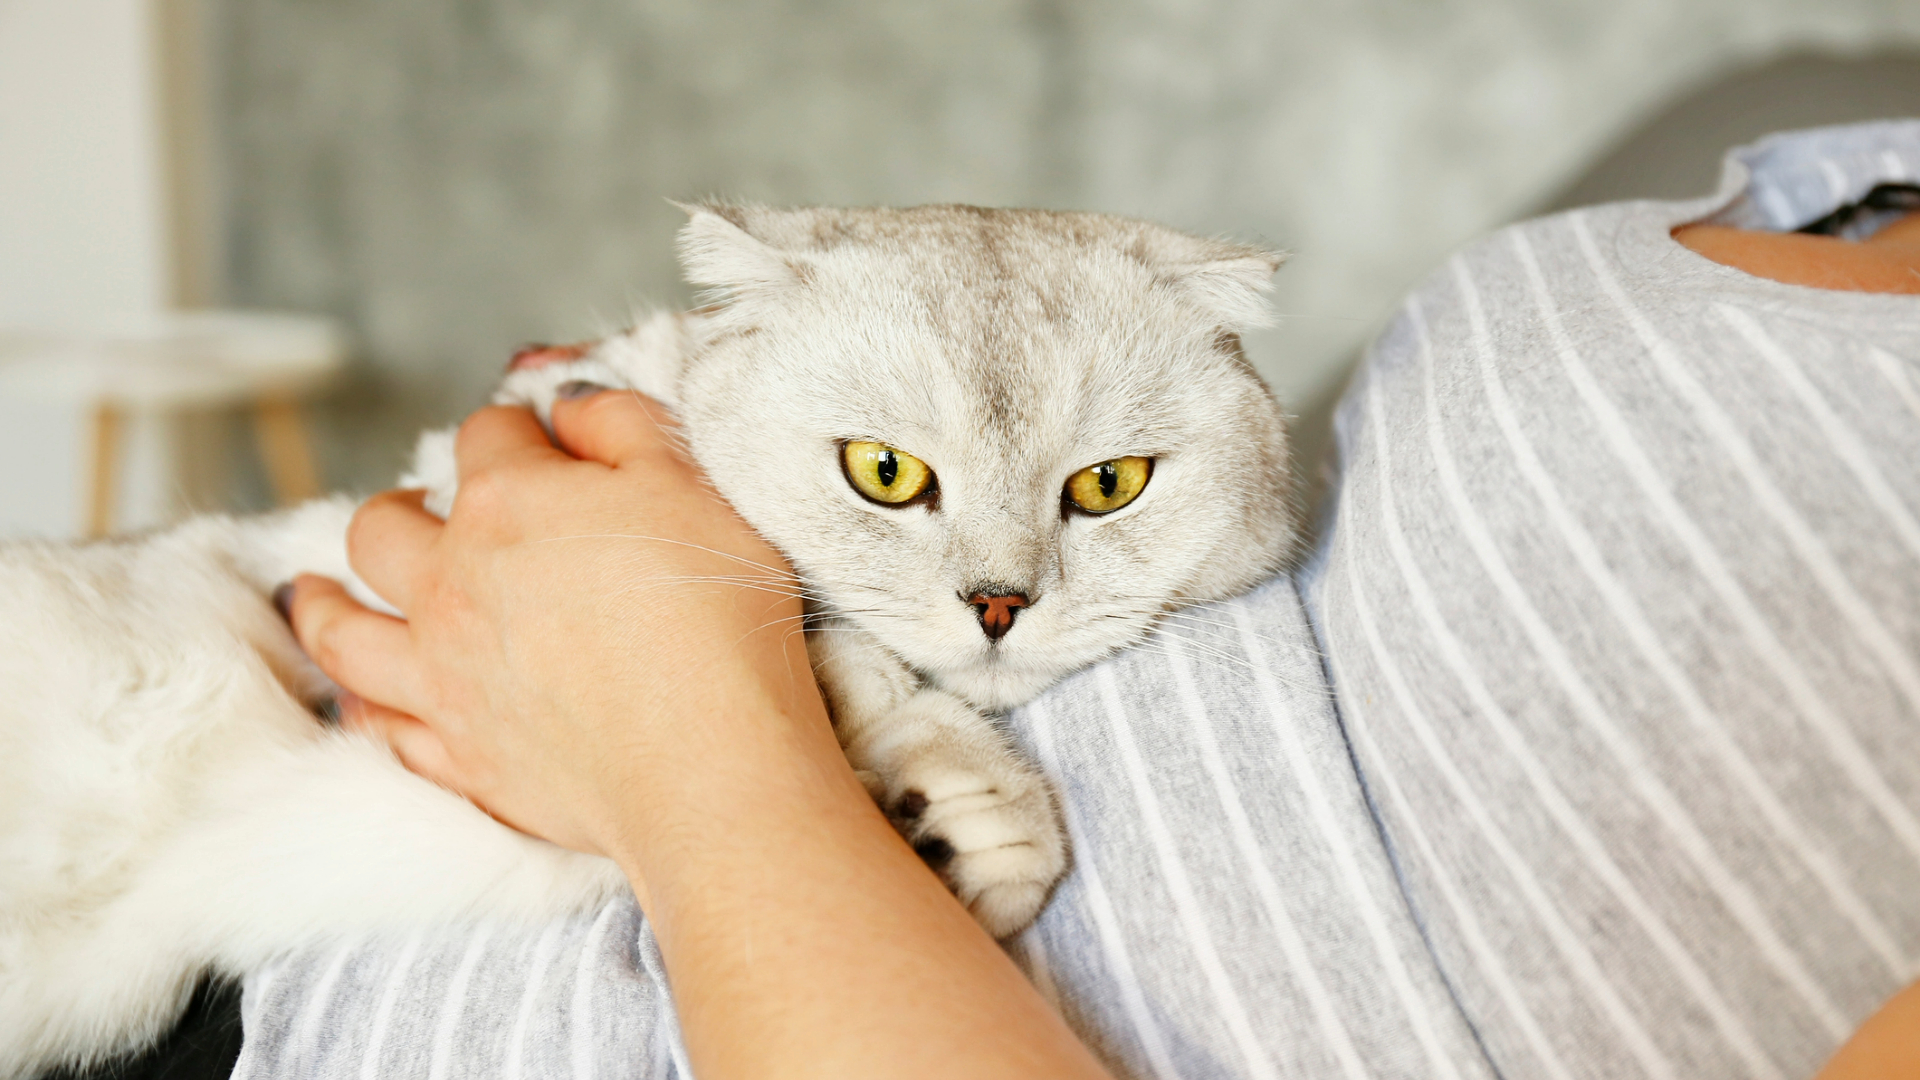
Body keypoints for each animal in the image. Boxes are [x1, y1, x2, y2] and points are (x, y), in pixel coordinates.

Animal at [0, 203, 1297, 1076]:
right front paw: (970, 795)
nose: (997, 603)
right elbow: (823, 633)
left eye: (1109, 486)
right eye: (884, 473)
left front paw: (954, 830)